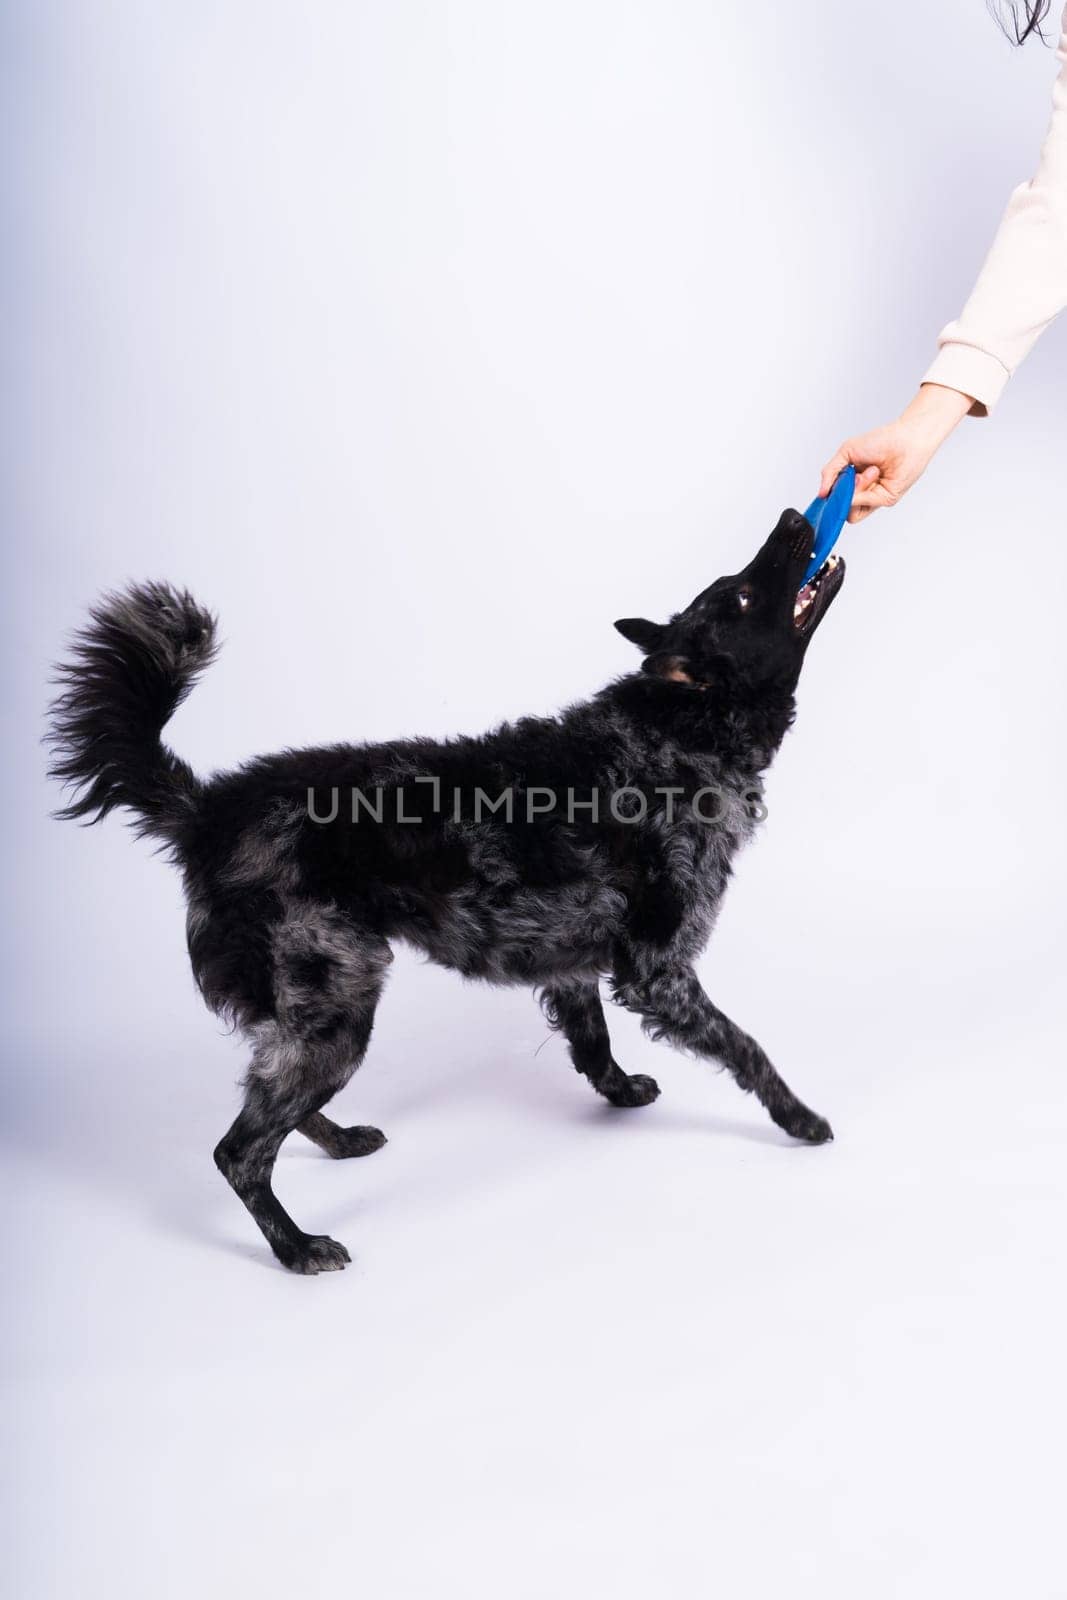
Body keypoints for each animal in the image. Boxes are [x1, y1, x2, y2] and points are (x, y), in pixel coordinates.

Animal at [49, 512, 844, 1273]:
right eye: (742, 597)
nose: (793, 515)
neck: (677, 731)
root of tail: (208, 809)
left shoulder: (575, 958)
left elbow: (592, 1040)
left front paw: (618, 1091)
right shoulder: (658, 972)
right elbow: (746, 1048)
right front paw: (799, 1117)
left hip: (306, 1013)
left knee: (270, 1099)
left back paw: (339, 1141)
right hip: (338, 1007)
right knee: (239, 1150)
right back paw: (297, 1246)